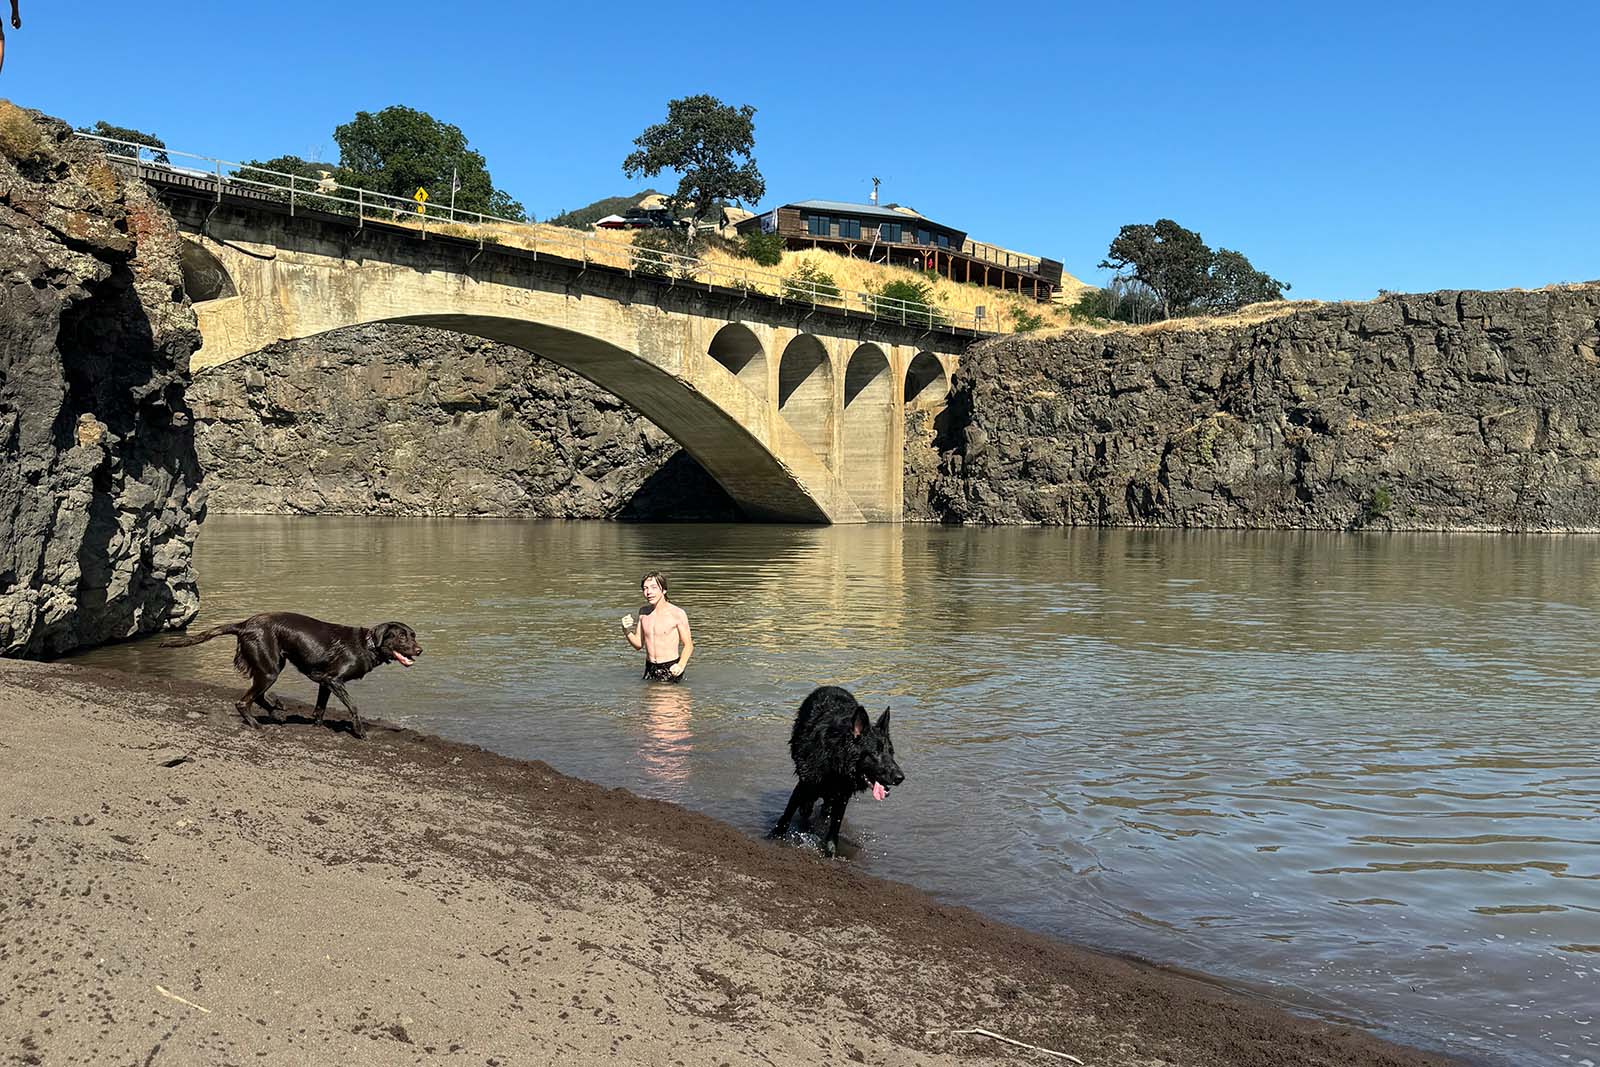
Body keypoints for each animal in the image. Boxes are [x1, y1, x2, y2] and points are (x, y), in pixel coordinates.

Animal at [162, 614, 422, 739]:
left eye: (413, 635)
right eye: (401, 637)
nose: (420, 650)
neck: (367, 645)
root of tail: (244, 624)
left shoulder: (325, 682)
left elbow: (320, 708)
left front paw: (318, 725)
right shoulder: (335, 680)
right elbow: (354, 706)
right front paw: (360, 732)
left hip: (272, 666)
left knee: (258, 697)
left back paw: (276, 711)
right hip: (269, 670)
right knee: (244, 701)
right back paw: (256, 724)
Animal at [768, 684, 908, 857]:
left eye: (891, 752)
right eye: (875, 753)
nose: (900, 777)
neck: (835, 762)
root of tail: (831, 686)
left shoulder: (842, 795)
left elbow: (834, 827)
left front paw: (830, 852)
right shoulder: (804, 784)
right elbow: (787, 814)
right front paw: (774, 837)